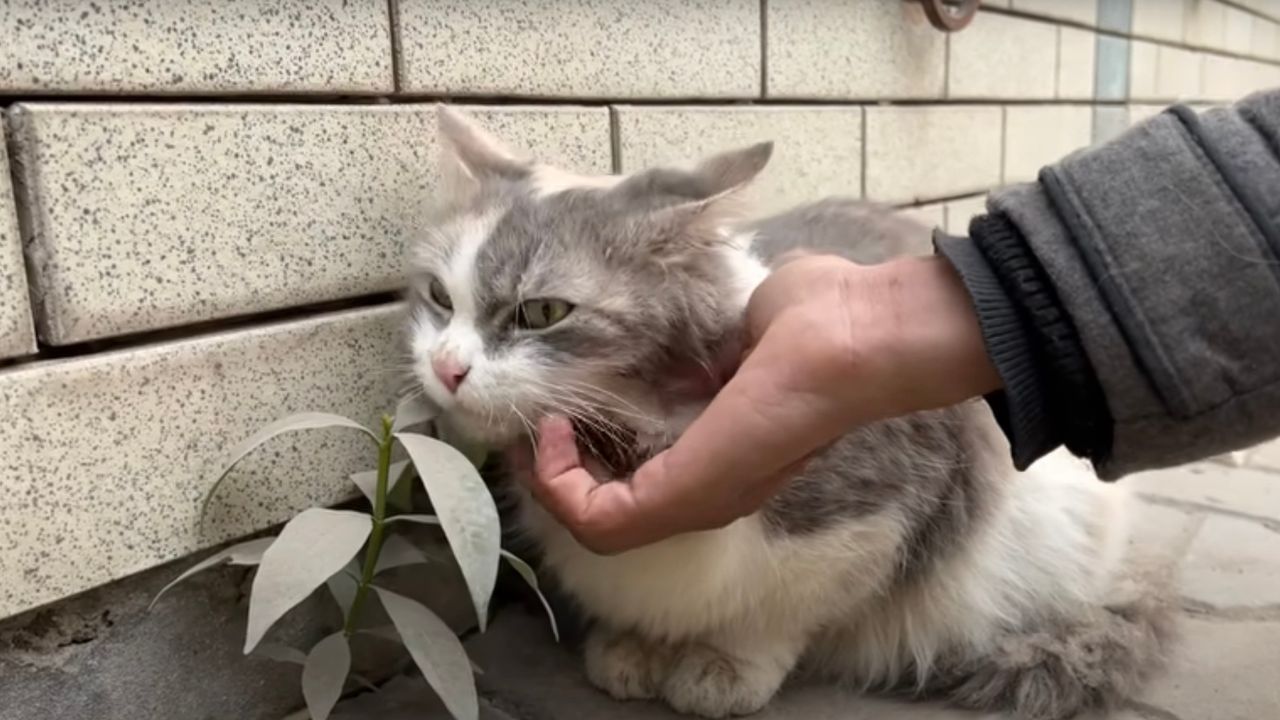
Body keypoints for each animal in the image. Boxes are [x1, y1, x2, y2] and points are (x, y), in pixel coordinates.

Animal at [404, 106, 1172, 717]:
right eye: (440, 298)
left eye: (542, 313)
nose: (446, 368)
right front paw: (634, 649)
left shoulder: (864, 525)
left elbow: (773, 615)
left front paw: (721, 668)